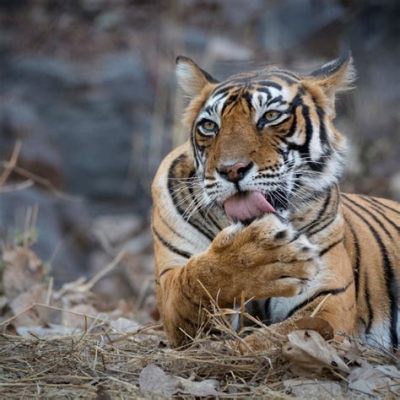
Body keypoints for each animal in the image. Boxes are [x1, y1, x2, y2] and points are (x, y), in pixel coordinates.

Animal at [151, 53, 400, 354]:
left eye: (270, 116)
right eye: (209, 126)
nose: (231, 170)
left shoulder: (328, 302)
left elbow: (271, 338)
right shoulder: (170, 287)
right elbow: (197, 279)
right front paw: (257, 259)